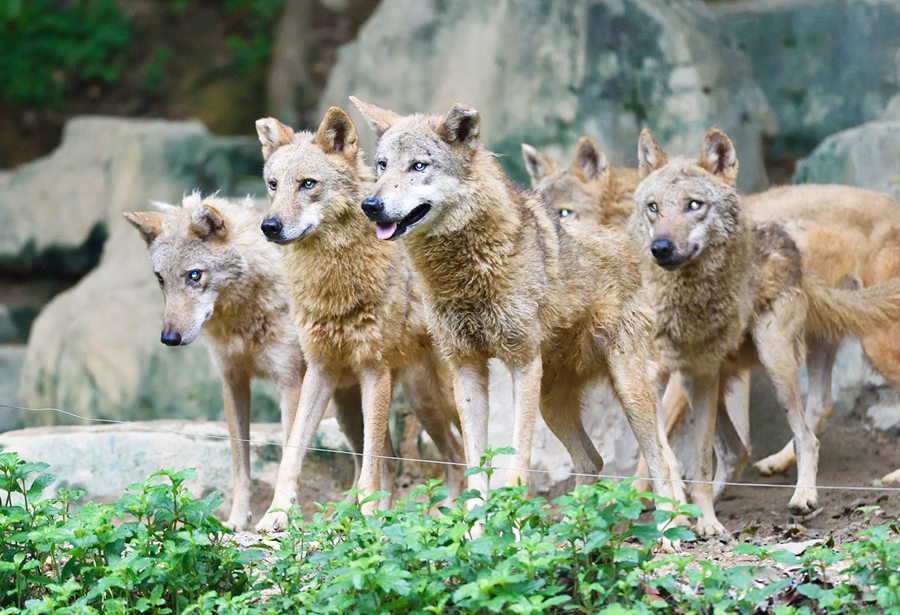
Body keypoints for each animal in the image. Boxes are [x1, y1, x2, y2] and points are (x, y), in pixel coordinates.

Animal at [125, 192, 366, 528]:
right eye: (161, 279)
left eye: (195, 276)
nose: (169, 338)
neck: (243, 318)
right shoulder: (233, 382)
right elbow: (240, 465)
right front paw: (238, 520)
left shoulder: (290, 384)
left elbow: (289, 456)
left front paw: (281, 518)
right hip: (346, 408)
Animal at [253, 106, 464, 528]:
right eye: (273, 185)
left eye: (308, 184)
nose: (270, 226)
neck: (333, 286)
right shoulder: (319, 370)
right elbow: (292, 452)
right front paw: (276, 515)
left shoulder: (374, 370)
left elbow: (371, 463)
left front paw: (367, 517)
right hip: (380, 405)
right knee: (425, 457)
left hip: (439, 396)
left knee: (466, 452)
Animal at [350, 97, 684, 520]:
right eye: (382, 165)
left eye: (418, 166)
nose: (370, 205)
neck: (465, 271)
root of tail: (629, 242)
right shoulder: (466, 368)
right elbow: (476, 472)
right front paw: (477, 532)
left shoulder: (522, 363)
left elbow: (517, 472)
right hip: (551, 402)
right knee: (592, 460)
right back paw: (576, 527)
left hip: (628, 391)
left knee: (661, 463)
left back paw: (669, 531)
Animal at [632, 127, 900, 536]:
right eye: (653, 207)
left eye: (694, 205)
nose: (660, 248)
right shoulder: (663, 378)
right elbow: (669, 457)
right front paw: (674, 514)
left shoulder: (693, 377)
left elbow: (683, 459)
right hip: (802, 350)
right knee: (806, 415)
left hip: (806, 355)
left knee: (807, 433)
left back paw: (810, 495)